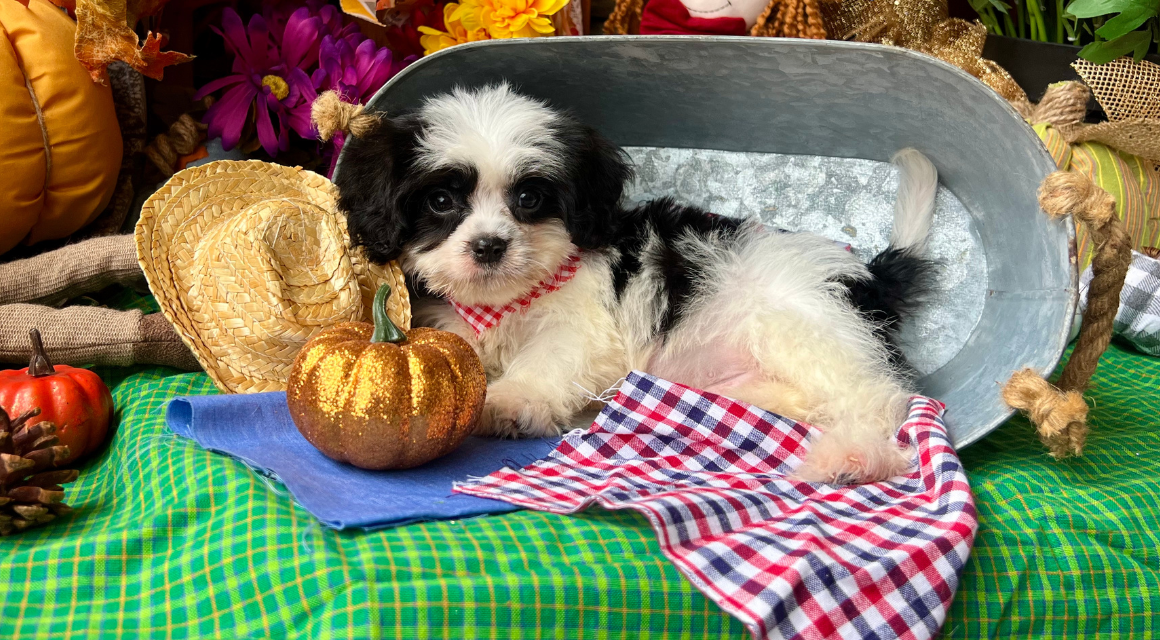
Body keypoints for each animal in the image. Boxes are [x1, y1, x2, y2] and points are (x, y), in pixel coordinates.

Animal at [336, 85, 941, 484]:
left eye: (529, 198)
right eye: (441, 200)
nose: (488, 246)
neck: (508, 300)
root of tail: (869, 276)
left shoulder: (585, 326)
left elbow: (551, 355)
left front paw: (512, 399)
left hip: (804, 324)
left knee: (880, 399)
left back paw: (854, 457)